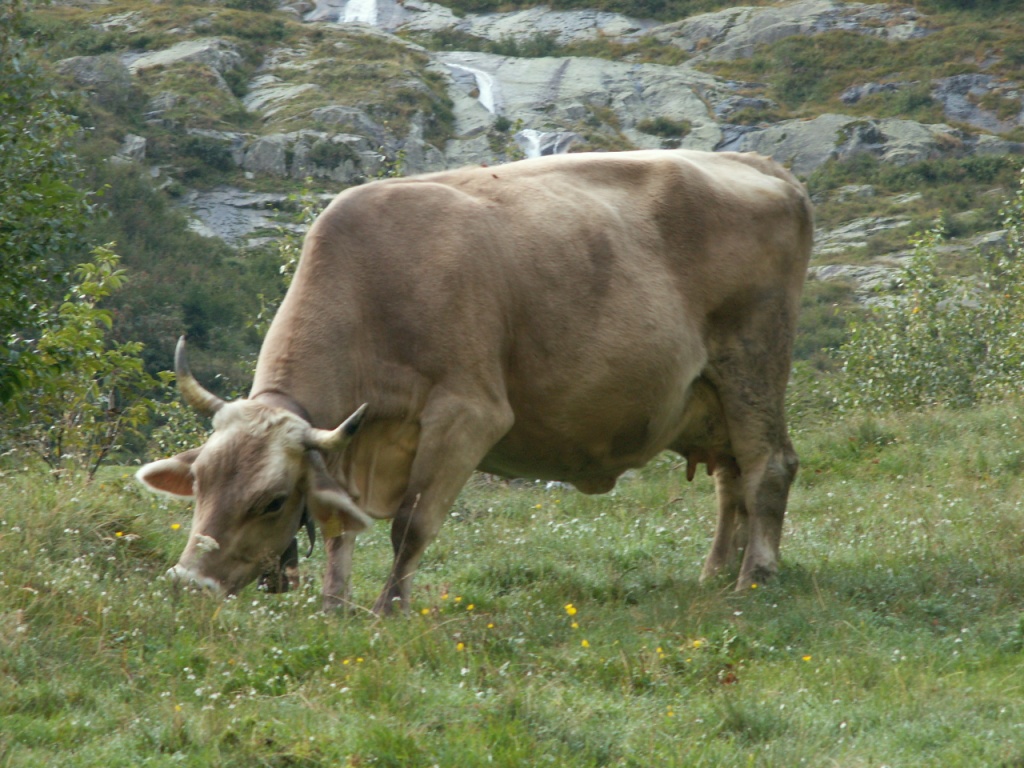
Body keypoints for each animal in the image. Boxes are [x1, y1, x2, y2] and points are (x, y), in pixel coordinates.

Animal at [136, 148, 813, 614]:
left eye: (272, 501)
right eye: (198, 483)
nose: (188, 582)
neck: (374, 291)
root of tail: (760, 165)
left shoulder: (468, 413)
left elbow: (410, 526)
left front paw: (386, 611)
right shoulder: (347, 447)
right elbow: (337, 528)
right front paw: (333, 606)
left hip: (753, 363)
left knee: (768, 467)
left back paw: (755, 577)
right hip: (712, 397)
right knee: (731, 480)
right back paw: (715, 573)